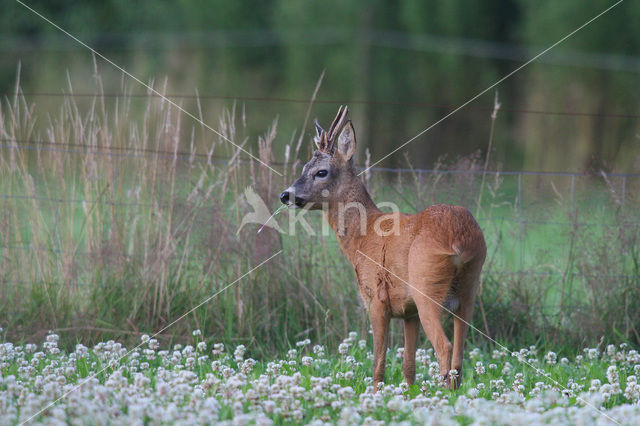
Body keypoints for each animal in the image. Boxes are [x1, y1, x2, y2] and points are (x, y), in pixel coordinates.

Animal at [278, 105, 484, 390]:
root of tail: (459, 238)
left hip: (426, 286)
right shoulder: (408, 312)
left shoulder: (376, 299)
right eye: (304, 166)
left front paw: (376, 394)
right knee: (459, 356)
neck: (362, 237)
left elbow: (378, 363)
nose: (285, 195)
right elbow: (408, 366)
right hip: (468, 289)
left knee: (445, 347)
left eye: (321, 172)